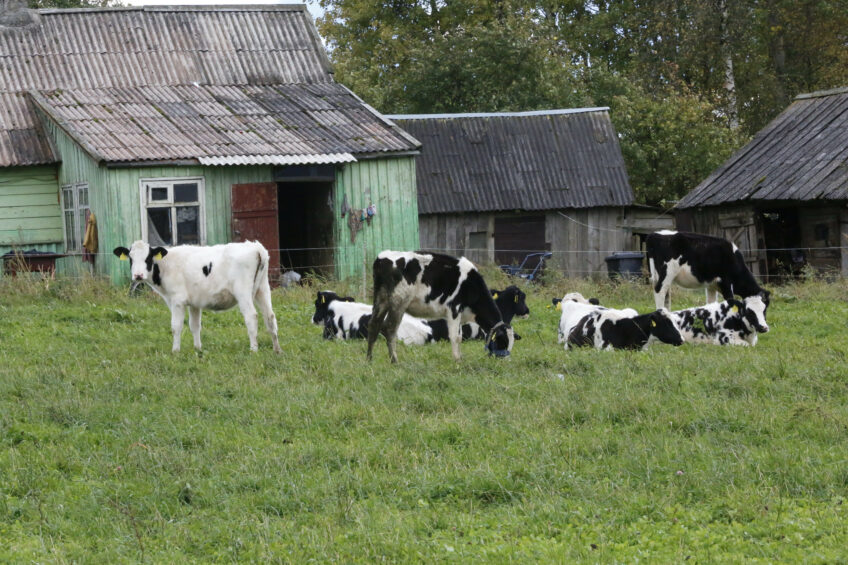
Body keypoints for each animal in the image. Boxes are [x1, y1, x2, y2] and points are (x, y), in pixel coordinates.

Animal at [109, 239, 280, 352]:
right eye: (131, 259)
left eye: (148, 258)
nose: (138, 275)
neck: (166, 265)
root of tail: (255, 247)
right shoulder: (195, 303)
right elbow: (195, 326)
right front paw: (198, 349)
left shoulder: (177, 300)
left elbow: (176, 326)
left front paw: (175, 351)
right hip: (263, 289)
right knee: (270, 317)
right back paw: (277, 350)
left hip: (243, 292)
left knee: (251, 316)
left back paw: (254, 349)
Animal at [366, 250, 516, 362]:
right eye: (502, 342)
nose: (505, 361)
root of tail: (382, 258)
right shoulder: (454, 309)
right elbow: (455, 337)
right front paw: (457, 361)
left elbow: (459, 336)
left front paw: (460, 357)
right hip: (399, 302)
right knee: (389, 329)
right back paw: (394, 361)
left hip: (381, 299)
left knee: (374, 325)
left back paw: (369, 359)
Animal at [644, 229, 772, 308]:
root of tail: (654, 235)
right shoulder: (725, 282)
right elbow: (730, 301)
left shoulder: (711, 285)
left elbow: (711, 303)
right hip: (667, 272)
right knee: (659, 291)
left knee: (666, 295)